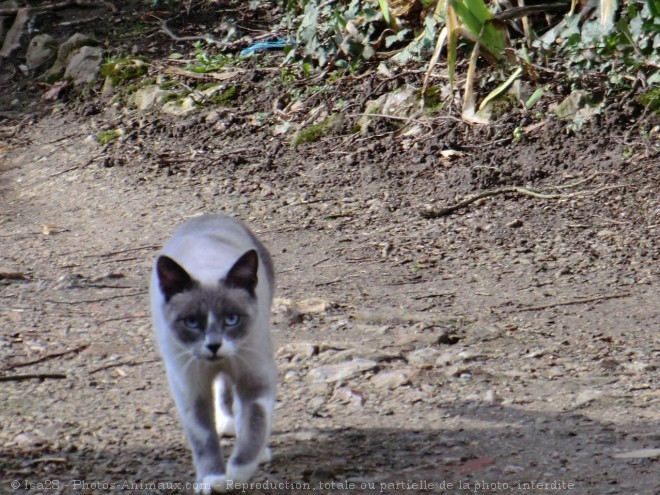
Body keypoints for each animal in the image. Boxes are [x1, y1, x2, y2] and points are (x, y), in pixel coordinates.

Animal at [151, 215, 278, 494]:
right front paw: (212, 479)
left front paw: (235, 475)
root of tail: (208, 216)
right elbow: (203, 438)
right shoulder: (190, 390)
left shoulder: (255, 379)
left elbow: (254, 427)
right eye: (191, 322)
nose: (214, 345)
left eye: (231, 319)